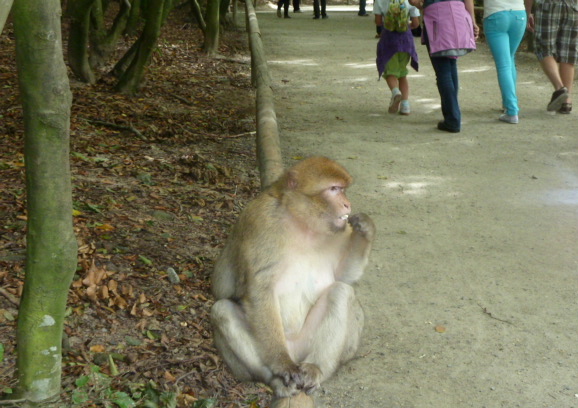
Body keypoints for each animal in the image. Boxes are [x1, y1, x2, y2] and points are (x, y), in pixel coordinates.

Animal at [209, 156, 376, 408]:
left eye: (343, 189)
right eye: (334, 189)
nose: (347, 205)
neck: (301, 222)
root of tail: (296, 352)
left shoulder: (338, 230)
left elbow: (342, 276)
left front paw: (365, 227)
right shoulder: (260, 221)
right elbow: (257, 290)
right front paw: (281, 365)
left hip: (310, 345)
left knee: (341, 292)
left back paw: (315, 369)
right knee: (222, 310)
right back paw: (276, 379)